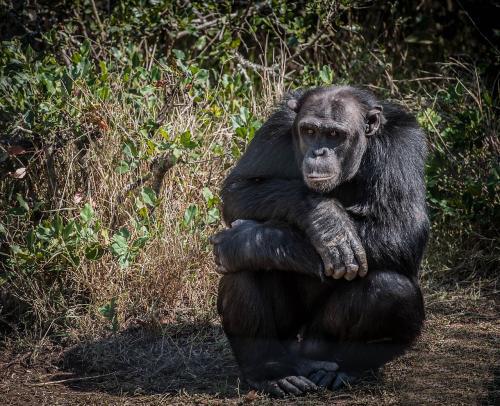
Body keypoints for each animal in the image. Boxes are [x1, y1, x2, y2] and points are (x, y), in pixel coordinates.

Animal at [211, 85, 430, 396]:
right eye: (310, 131)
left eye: (336, 135)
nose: (319, 151)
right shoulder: (275, 128)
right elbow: (239, 189)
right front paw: (325, 220)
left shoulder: (403, 145)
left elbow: (403, 228)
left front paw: (246, 239)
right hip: (289, 340)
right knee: (243, 271)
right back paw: (271, 371)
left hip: (317, 342)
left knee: (392, 290)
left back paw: (341, 369)